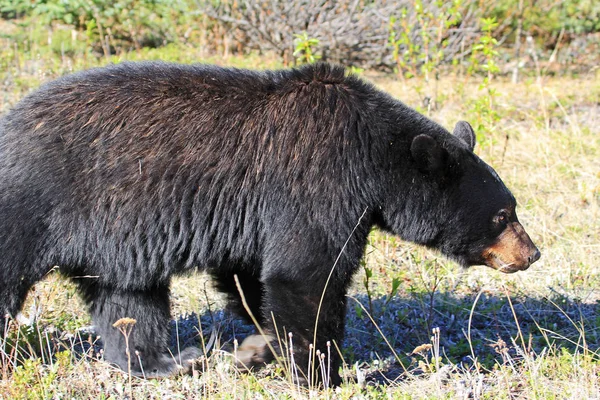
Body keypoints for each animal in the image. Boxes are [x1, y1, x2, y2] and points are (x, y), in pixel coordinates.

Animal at [0, 61, 536, 384]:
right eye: (503, 214)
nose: (531, 253)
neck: (372, 154)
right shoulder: (317, 181)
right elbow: (305, 275)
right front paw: (322, 373)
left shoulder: (256, 217)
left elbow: (249, 275)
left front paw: (258, 349)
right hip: (32, 202)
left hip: (112, 241)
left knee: (128, 301)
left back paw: (169, 362)